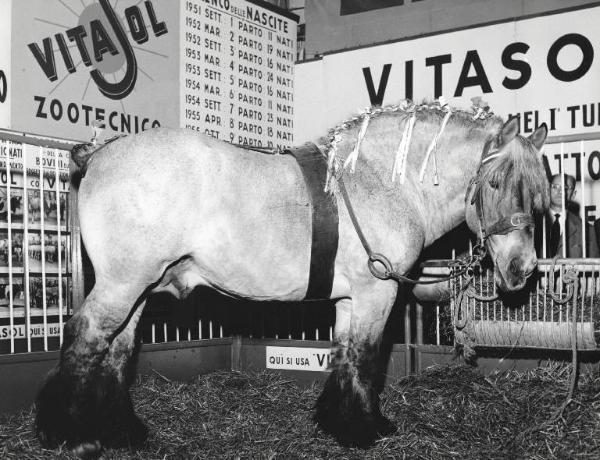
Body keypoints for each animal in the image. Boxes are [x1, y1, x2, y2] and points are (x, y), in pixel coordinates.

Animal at [32, 105, 548, 456]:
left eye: (539, 193)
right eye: (495, 184)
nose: (522, 269)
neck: (380, 182)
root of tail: (100, 154)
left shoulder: (350, 300)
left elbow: (343, 357)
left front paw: (337, 422)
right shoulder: (376, 294)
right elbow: (366, 359)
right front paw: (365, 430)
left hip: (137, 290)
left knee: (117, 350)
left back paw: (123, 431)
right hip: (122, 285)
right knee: (84, 338)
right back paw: (70, 435)